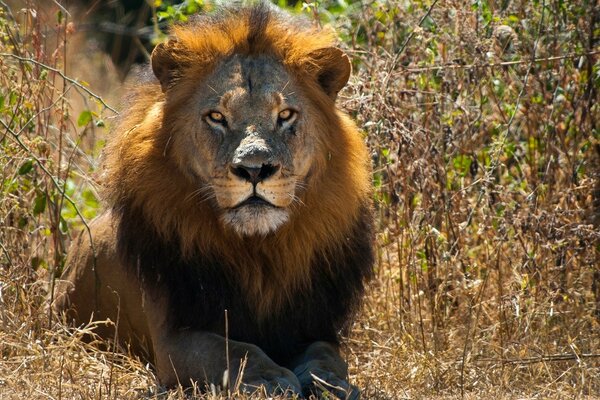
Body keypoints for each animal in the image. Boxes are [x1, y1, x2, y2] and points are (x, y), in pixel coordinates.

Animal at [56, 2, 376, 396]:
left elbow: (326, 355)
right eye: (217, 117)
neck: (261, 253)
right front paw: (272, 379)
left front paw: (330, 382)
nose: (254, 169)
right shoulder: (174, 339)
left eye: (285, 115)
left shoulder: (313, 325)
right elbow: (234, 351)